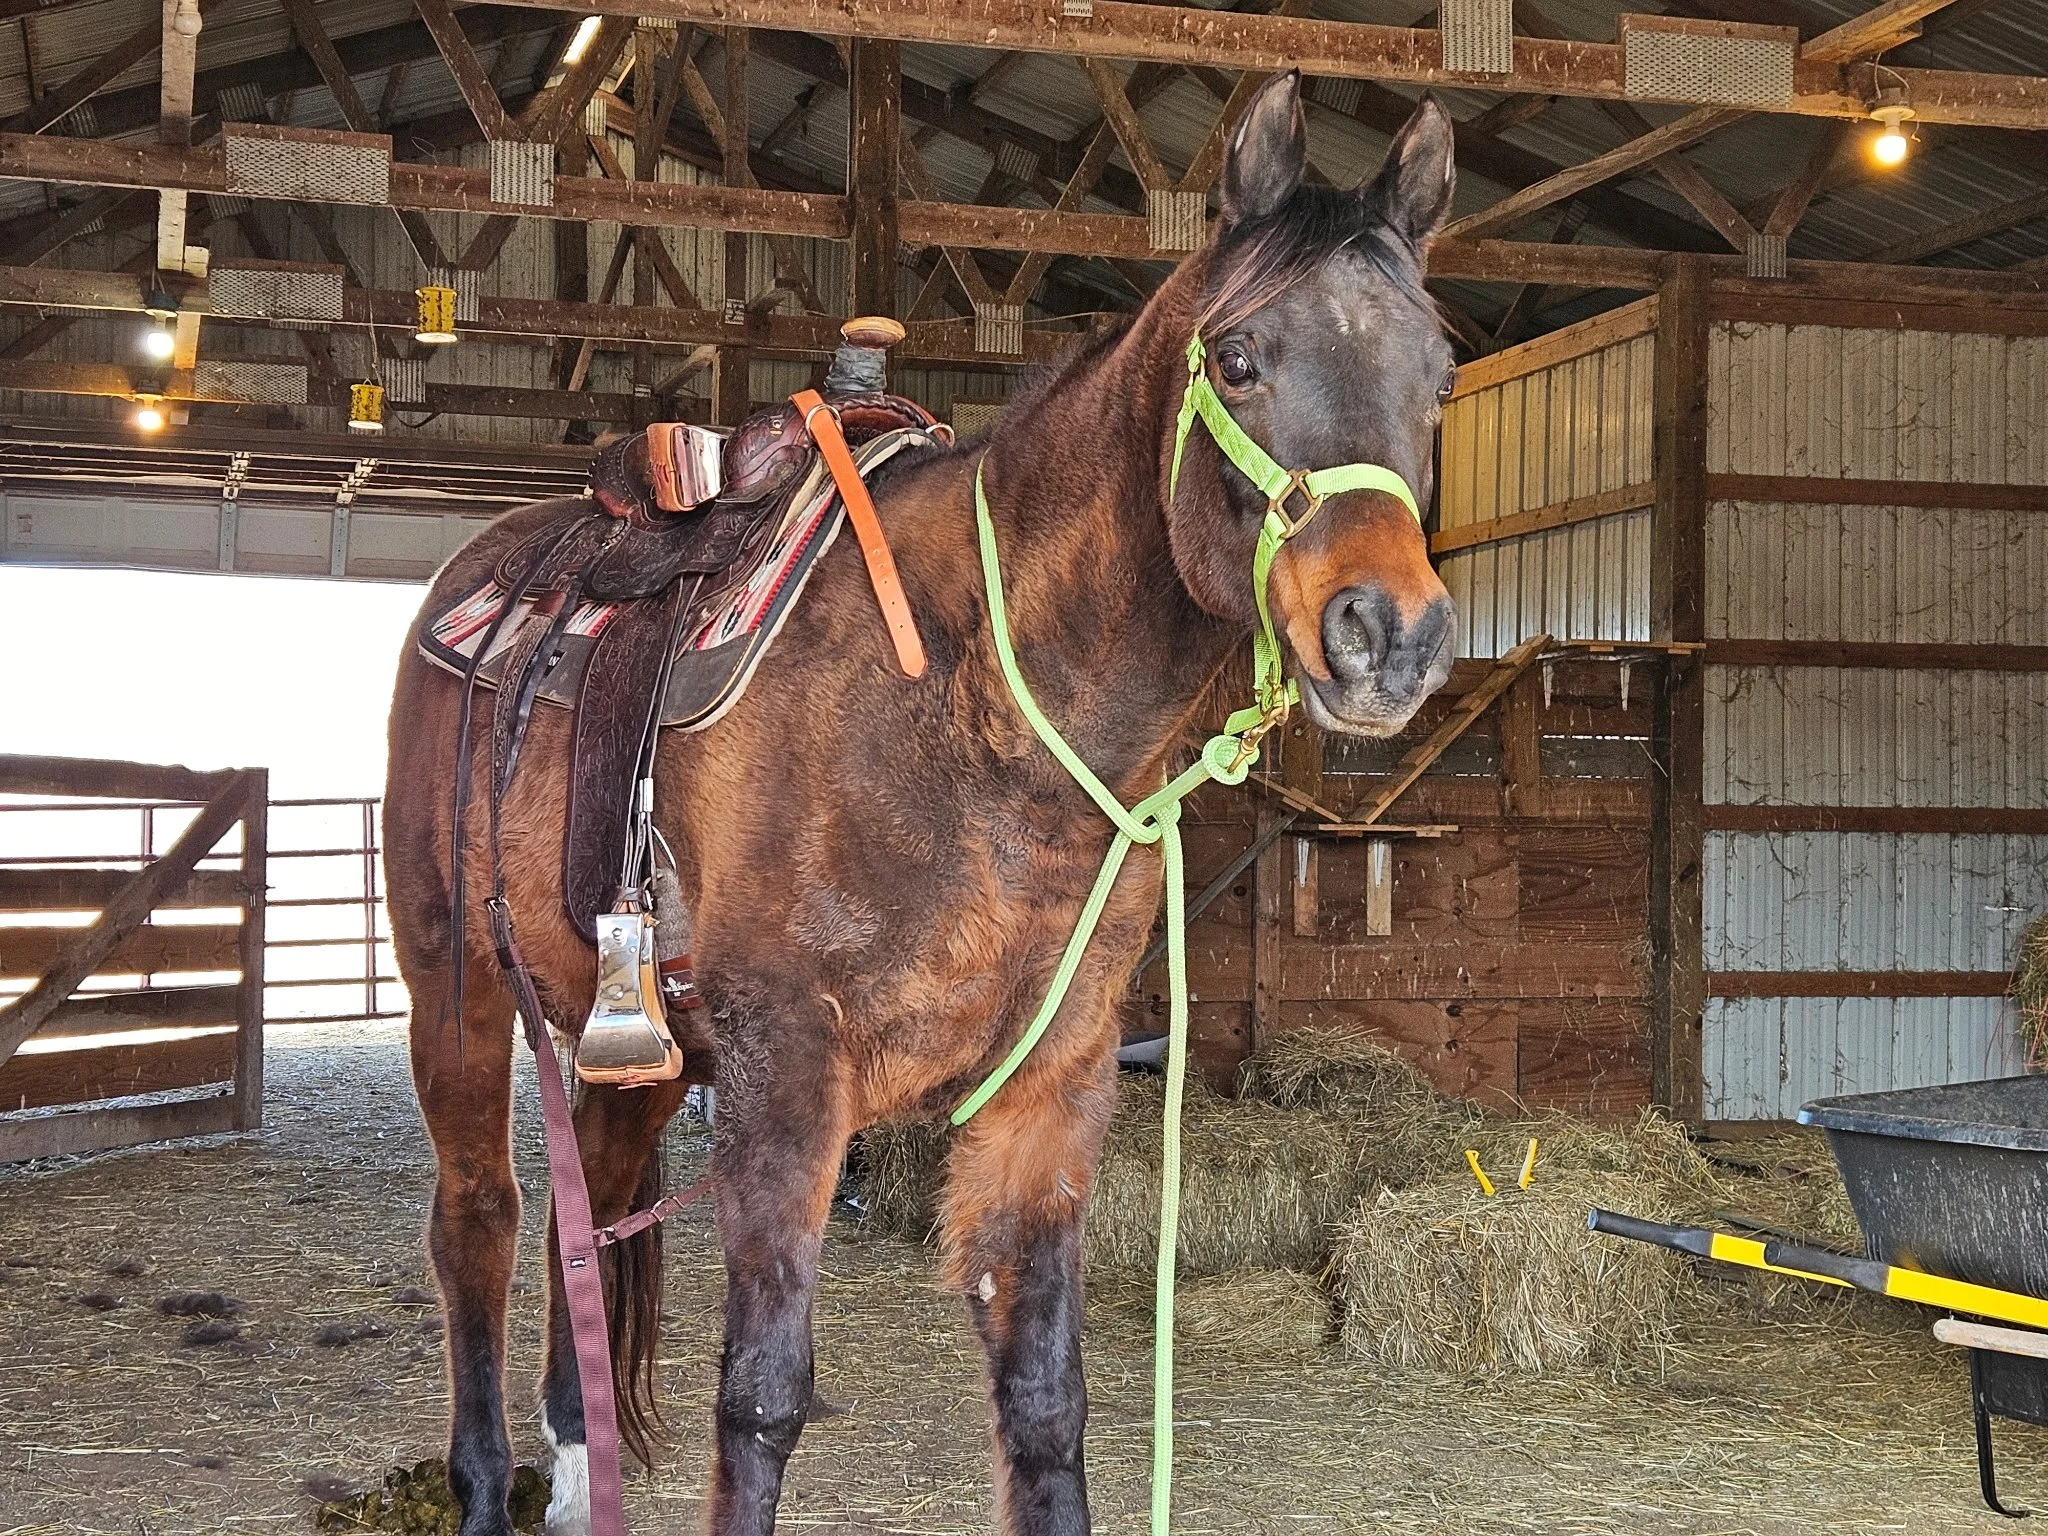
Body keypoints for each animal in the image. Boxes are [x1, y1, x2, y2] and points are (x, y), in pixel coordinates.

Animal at [383, 72, 1459, 1536]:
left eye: (1439, 377)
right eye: (1239, 359)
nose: (1386, 634)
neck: (975, 715)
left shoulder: (1052, 1098)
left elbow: (1045, 1401)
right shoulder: (788, 1081)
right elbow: (761, 1398)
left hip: (628, 1055)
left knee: (585, 1219)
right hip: (455, 991)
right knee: (480, 1219)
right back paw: (488, 1478)